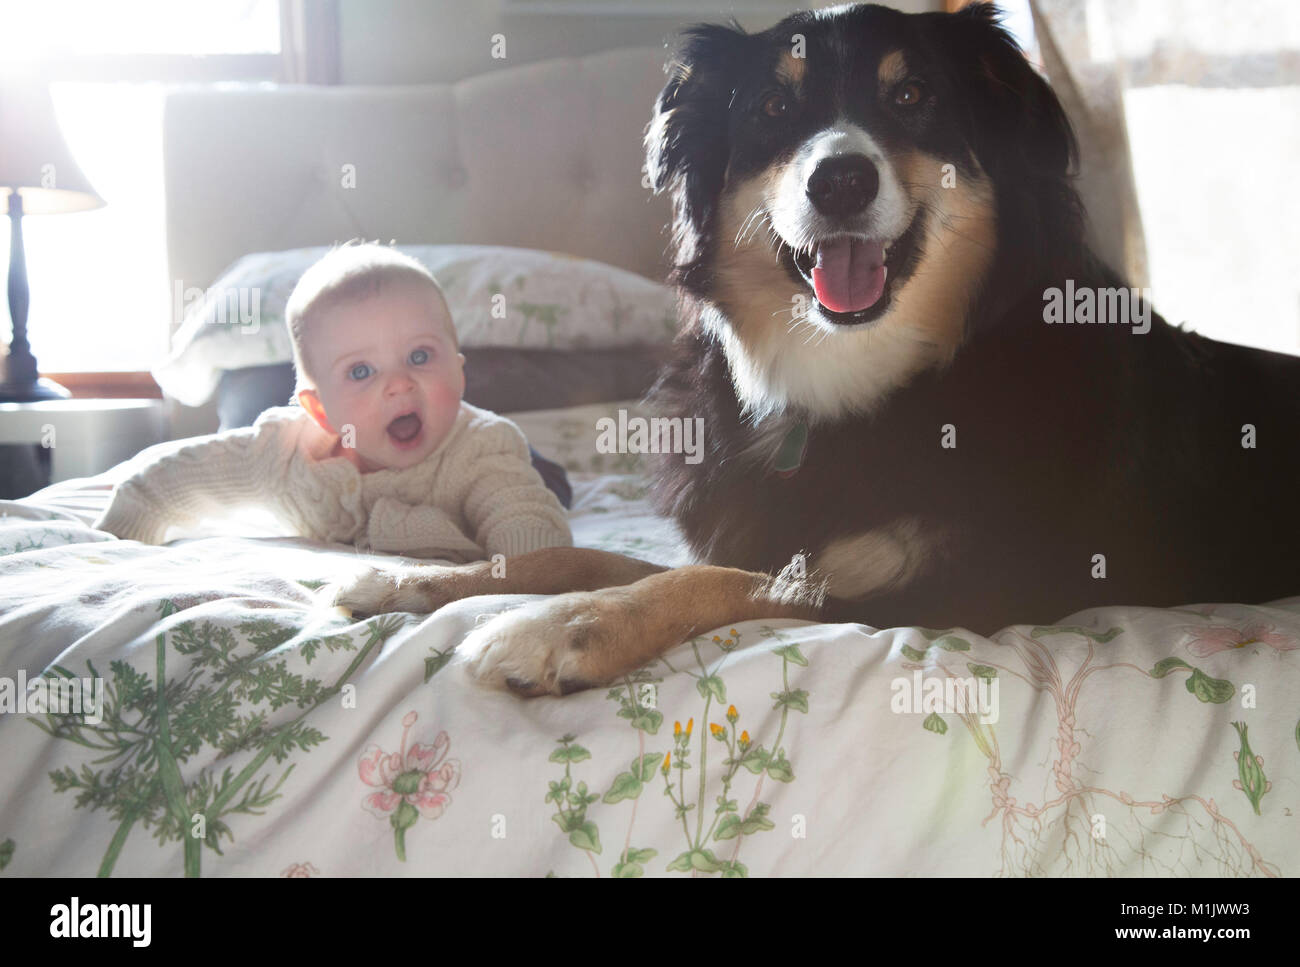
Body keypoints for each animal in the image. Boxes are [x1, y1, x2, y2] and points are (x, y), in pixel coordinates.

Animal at [335, 0, 1300, 696]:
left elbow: (724, 582)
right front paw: (420, 581)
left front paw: (564, 628)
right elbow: (587, 556)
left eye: (913, 97)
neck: (857, 374)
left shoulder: (968, 589)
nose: (840, 180)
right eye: (773, 107)